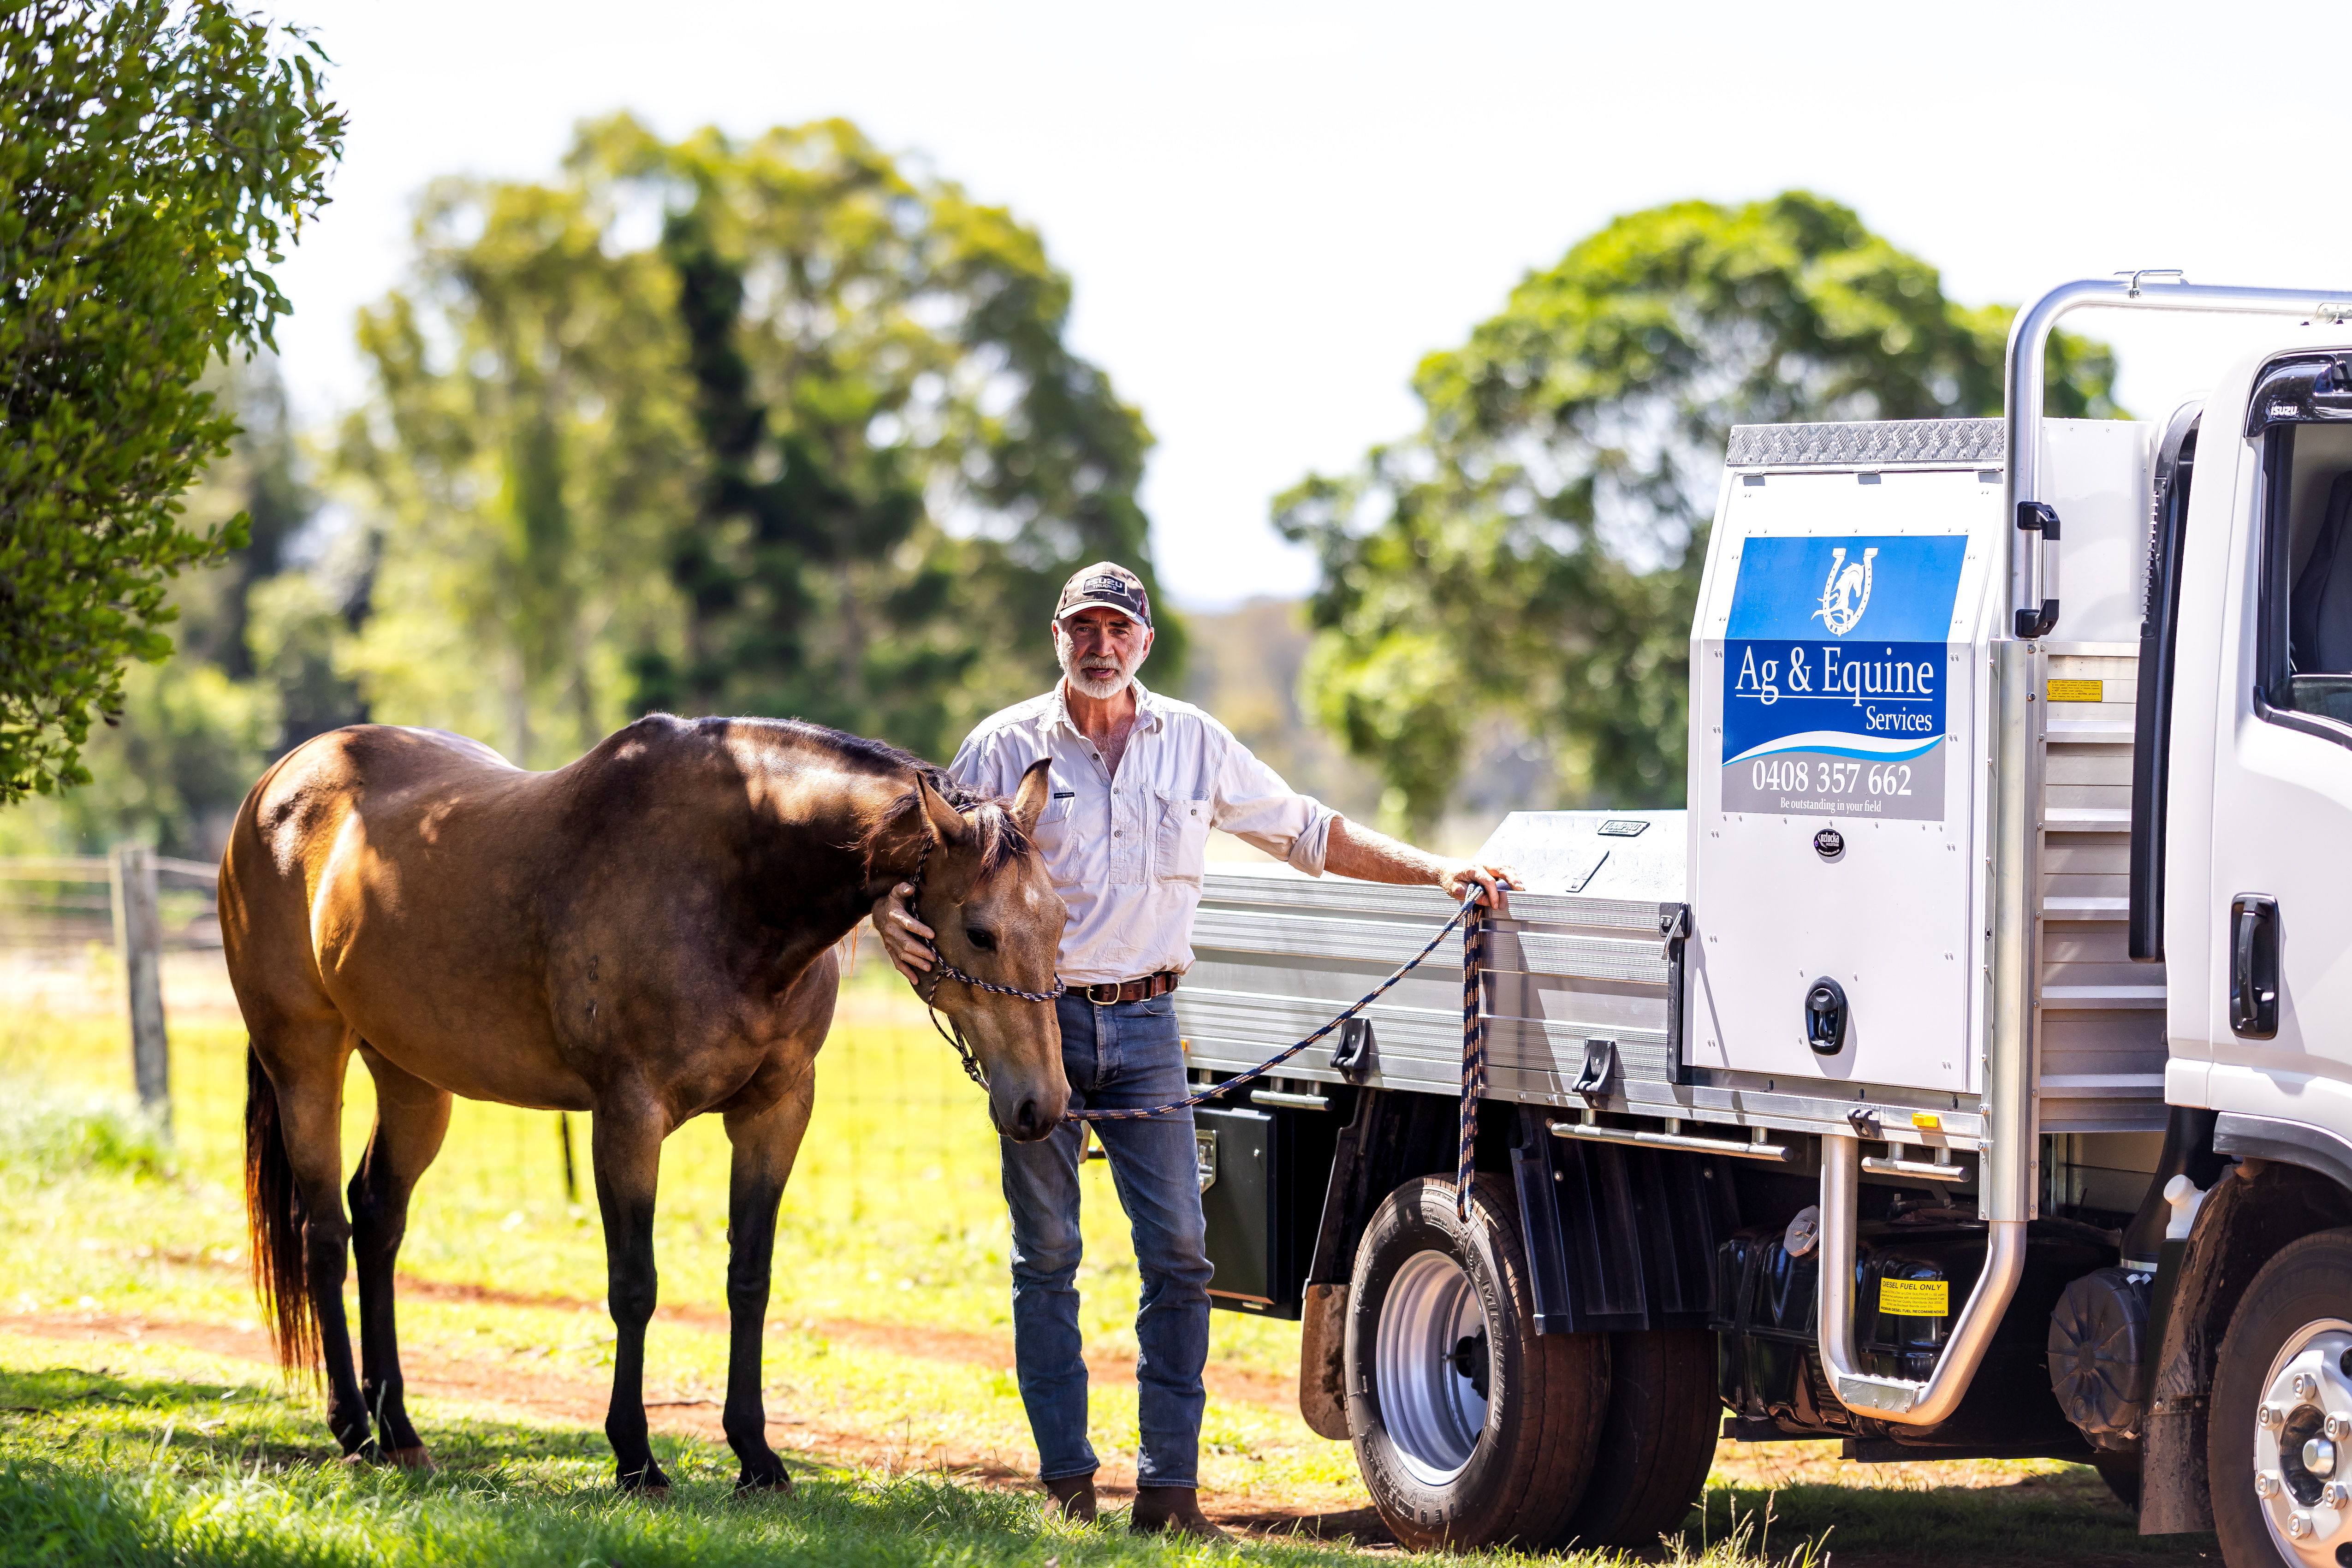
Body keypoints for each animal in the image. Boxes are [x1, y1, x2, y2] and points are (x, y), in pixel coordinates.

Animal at [221, 719, 1068, 1495]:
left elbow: (749, 1279)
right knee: (325, 1233)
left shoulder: (775, 1112)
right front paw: (636, 1459)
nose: (1043, 1104)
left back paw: (399, 1429)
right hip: (306, 1060)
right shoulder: (628, 1118)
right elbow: (634, 1284)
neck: (733, 889)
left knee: (378, 1222)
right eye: (980, 932)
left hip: (412, 1079)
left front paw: (757, 1458)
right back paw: (354, 1428)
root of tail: (277, 785)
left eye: (1060, 921)